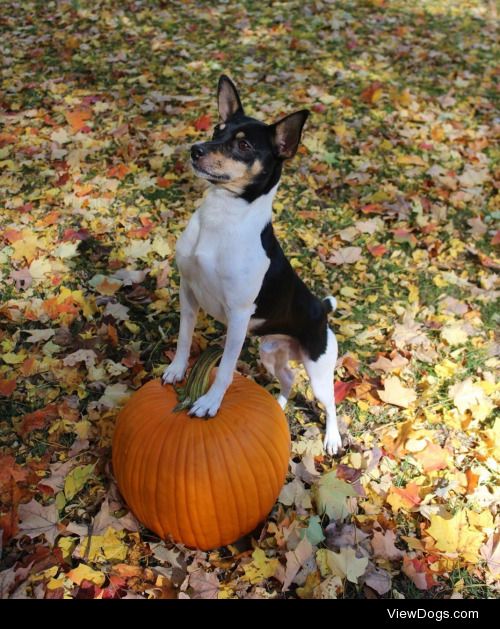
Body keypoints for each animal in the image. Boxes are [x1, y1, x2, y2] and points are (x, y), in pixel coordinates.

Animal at [162, 76, 342, 454]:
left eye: (244, 145)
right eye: (217, 130)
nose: (196, 149)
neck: (222, 217)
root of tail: (321, 308)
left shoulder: (239, 315)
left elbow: (227, 368)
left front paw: (210, 402)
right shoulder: (188, 291)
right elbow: (184, 337)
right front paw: (176, 369)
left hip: (319, 367)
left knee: (330, 401)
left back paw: (332, 438)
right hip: (270, 353)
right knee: (288, 378)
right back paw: (278, 405)